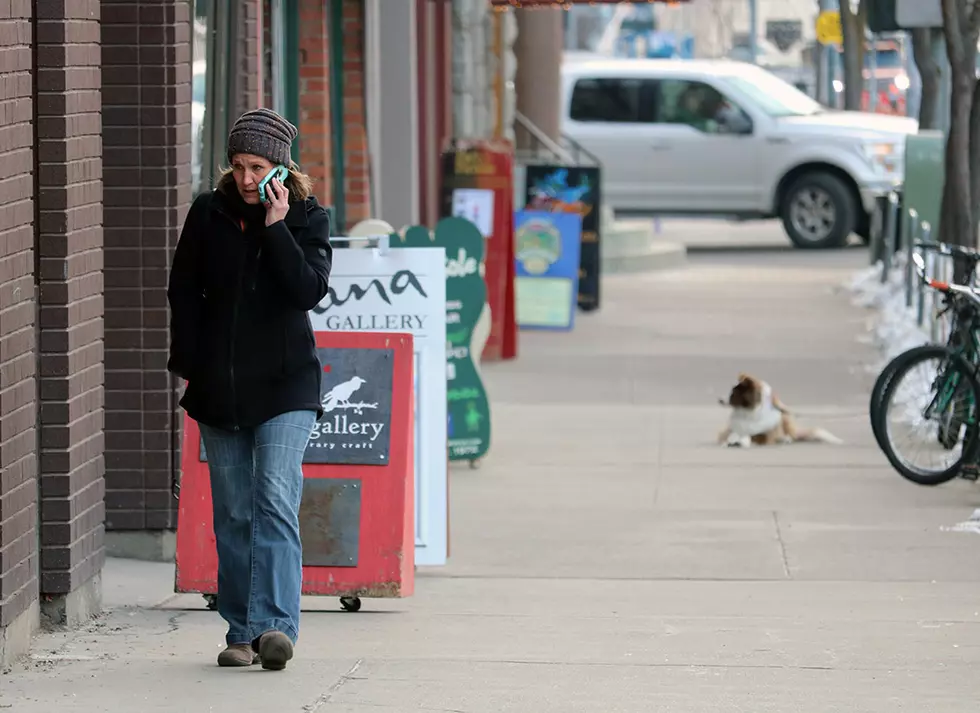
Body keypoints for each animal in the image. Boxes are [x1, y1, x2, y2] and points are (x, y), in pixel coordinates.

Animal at [716, 372, 848, 444]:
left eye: (733, 393)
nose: (719, 399)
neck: (747, 412)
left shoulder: (765, 434)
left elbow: (755, 437)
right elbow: (730, 435)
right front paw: (731, 440)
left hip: (785, 416)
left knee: (789, 435)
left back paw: (786, 438)